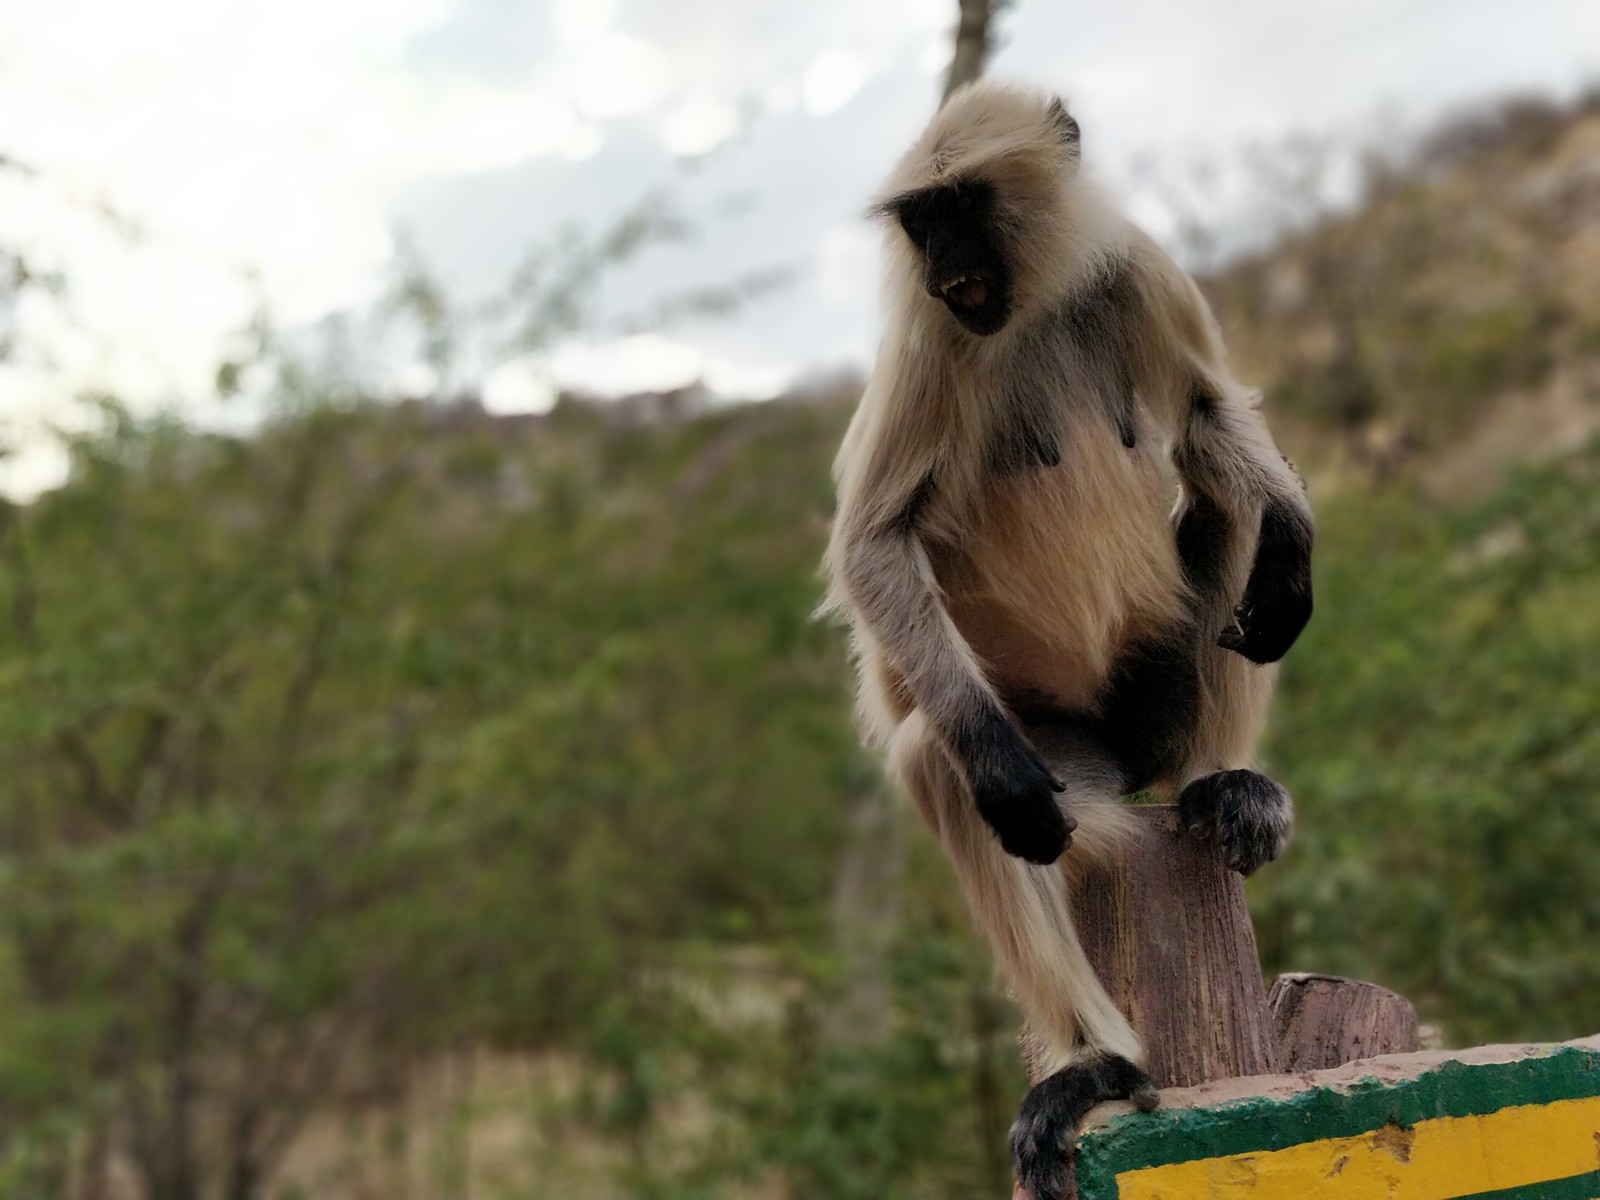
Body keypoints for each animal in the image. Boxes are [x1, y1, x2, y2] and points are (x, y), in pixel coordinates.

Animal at [825, 86, 1312, 1200]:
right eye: (921, 217)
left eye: (962, 204)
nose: (942, 258)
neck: (1029, 307)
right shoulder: (928, 332)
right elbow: (874, 541)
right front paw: (997, 770)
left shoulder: (1137, 268)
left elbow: (1210, 413)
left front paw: (1296, 541)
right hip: (1076, 769)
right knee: (943, 760)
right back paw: (1094, 1061)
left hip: (1148, 716)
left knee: (1221, 498)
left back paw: (1222, 780)